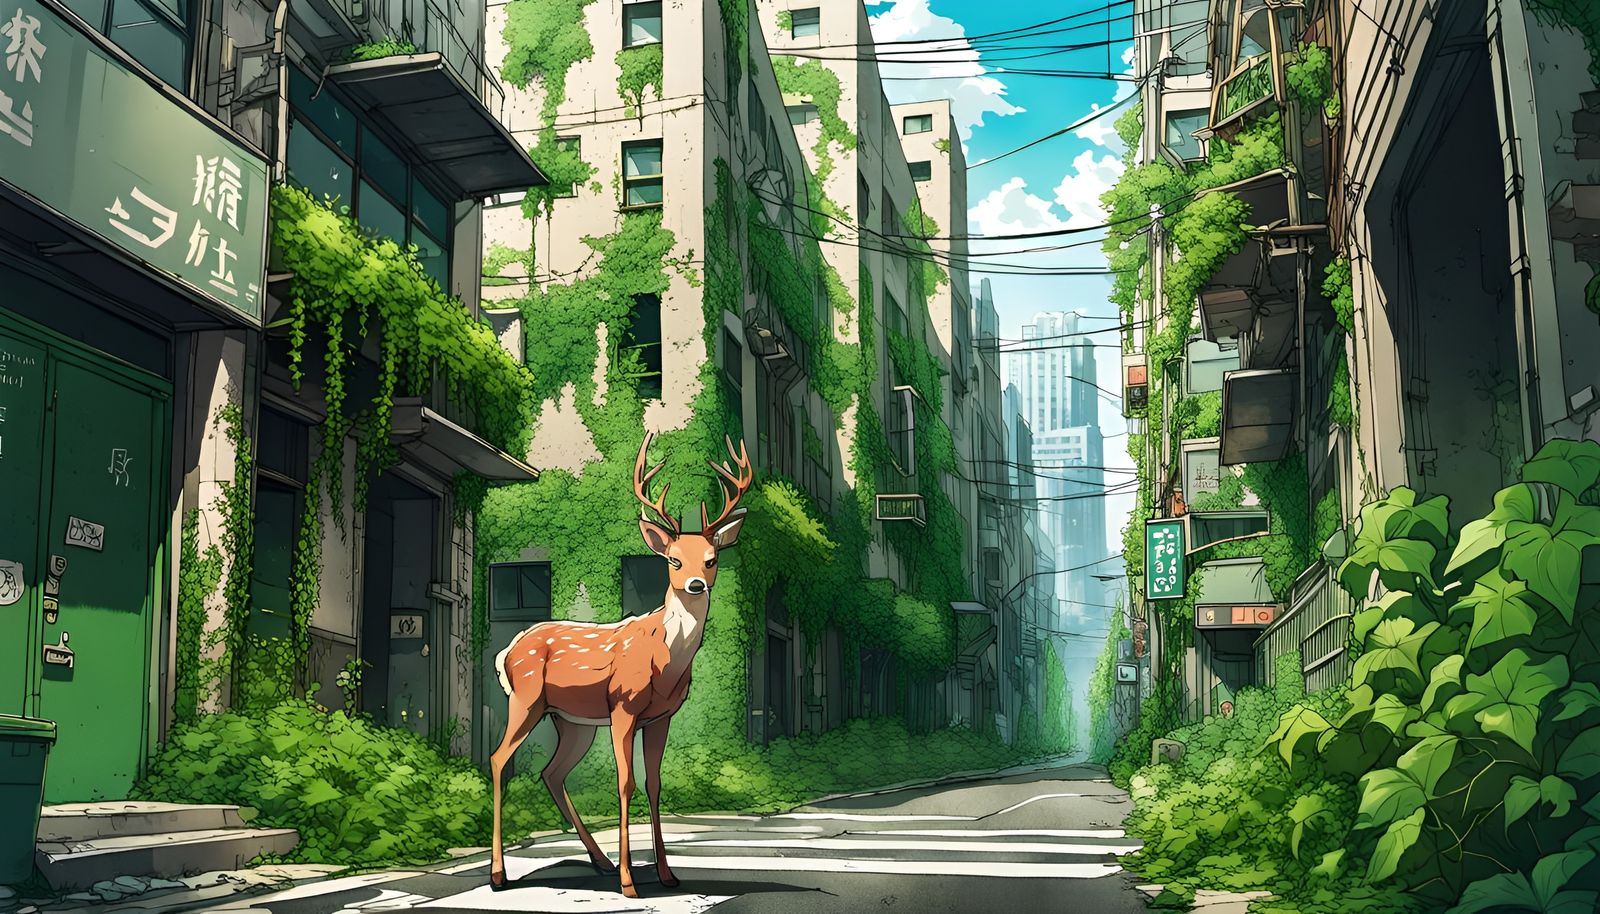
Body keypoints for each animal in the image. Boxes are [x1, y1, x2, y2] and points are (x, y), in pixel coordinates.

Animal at [488, 432, 753, 897]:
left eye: (712, 558)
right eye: (673, 560)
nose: (695, 585)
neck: (665, 663)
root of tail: (507, 652)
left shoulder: (661, 716)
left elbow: (654, 783)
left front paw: (667, 874)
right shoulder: (623, 707)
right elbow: (625, 782)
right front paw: (631, 882)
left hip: (571, 720)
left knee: (552, 772)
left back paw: (600, 862)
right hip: (527, 699)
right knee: (500, 760)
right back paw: (500, 874)